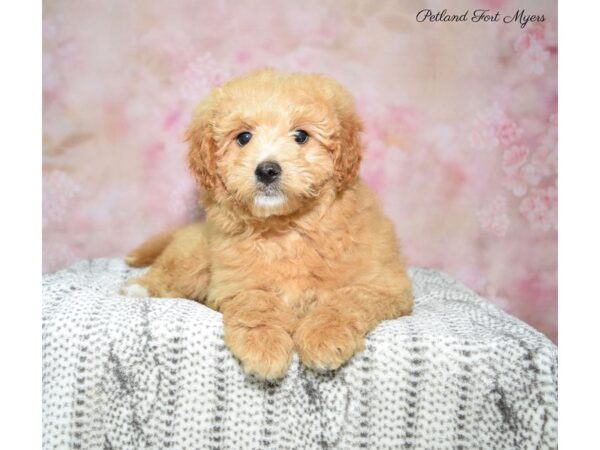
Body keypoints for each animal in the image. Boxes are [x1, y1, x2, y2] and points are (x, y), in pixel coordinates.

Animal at [122, 70, 412, 380]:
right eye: (244, 137)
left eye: (301, 136)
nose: (267, 170)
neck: (286, 229)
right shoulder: (235, 282)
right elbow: (256, 303)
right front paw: (264, 345)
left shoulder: (385, 285)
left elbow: (347, 299)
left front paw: (324, 336)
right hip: (194, 257)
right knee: (169, 274)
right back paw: (138, 288)